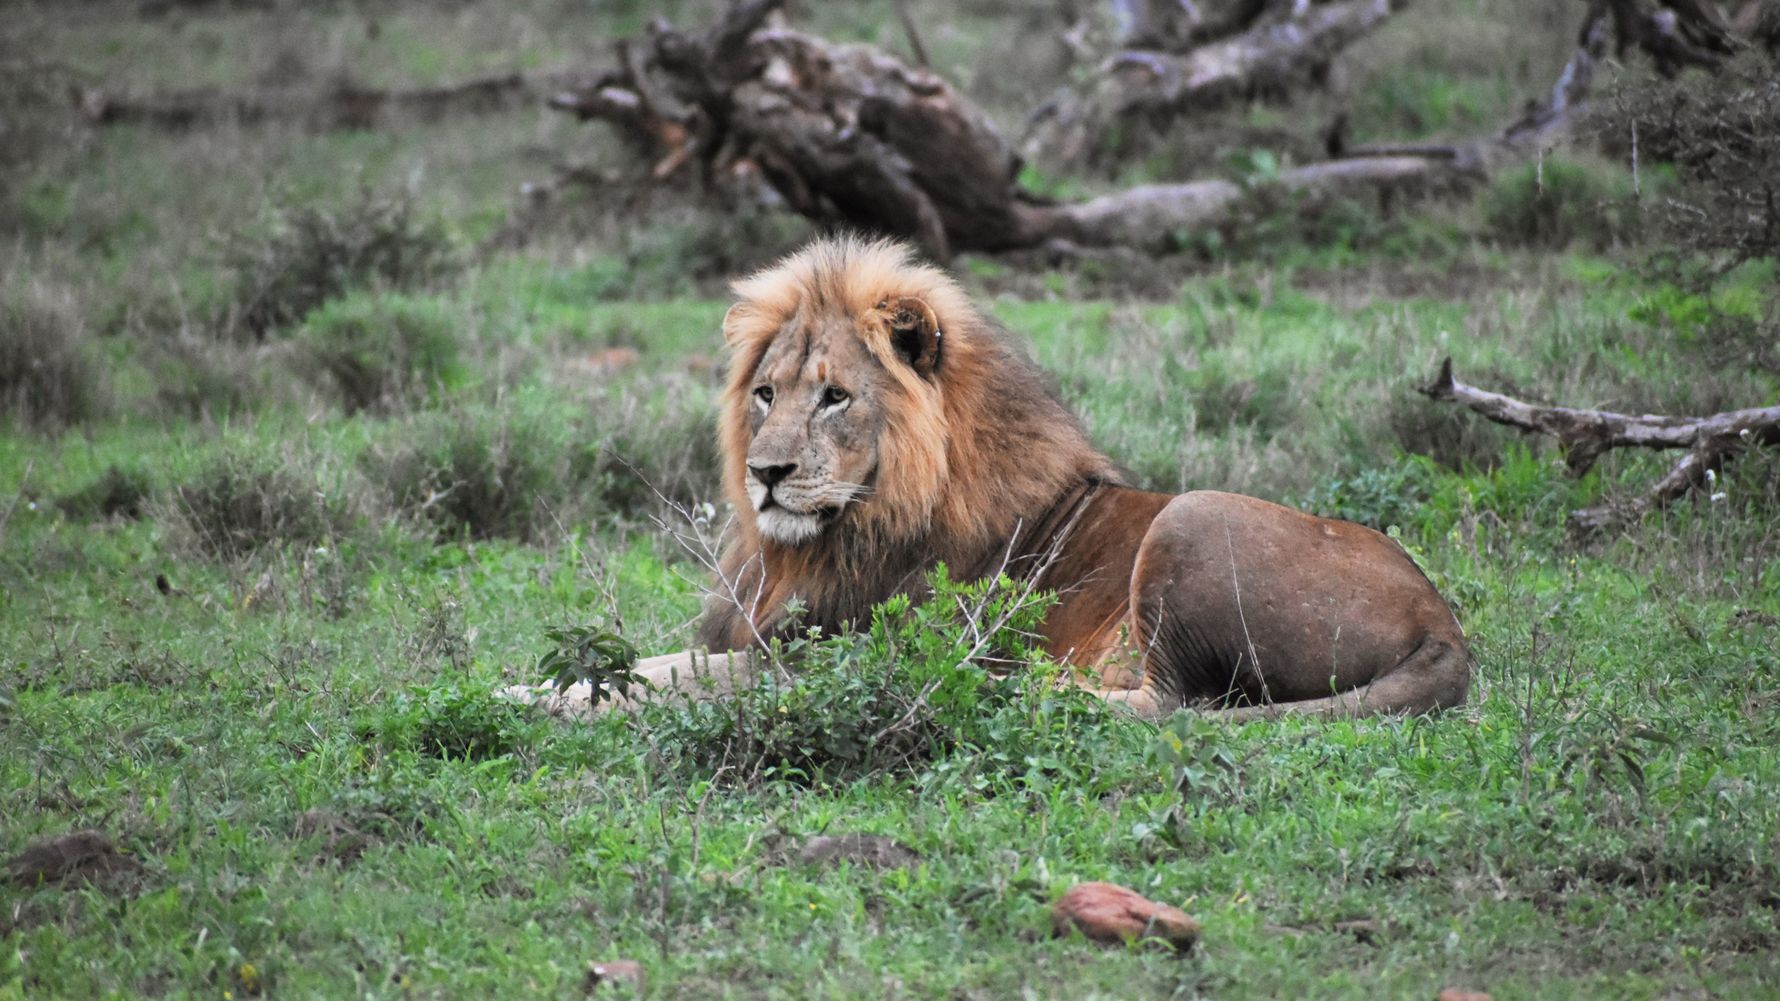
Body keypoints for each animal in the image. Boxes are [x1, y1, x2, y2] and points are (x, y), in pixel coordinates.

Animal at [512, 236, 1472, 722]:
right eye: (765, 393)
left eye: (834, 396)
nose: (766, 474)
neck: (835, 537)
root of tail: (1443, 623)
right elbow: (651, 661)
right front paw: (527, 681)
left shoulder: (838, 650)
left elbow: (695, 678)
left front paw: (540, 698)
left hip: (1191, 519)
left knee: (1164, 704)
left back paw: (998, 684)